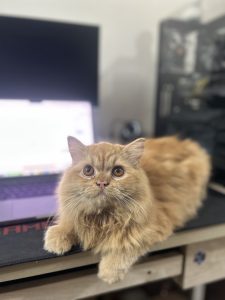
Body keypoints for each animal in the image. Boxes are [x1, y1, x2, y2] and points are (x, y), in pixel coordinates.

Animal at [43, 136, 211, 284]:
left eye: (118, 171)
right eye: (88, 170)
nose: (102, 183)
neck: (103, 217)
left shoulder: (150, 228)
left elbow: (126, 246)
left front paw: (109, 271)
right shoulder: (75, 213)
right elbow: (67, 224)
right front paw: (56, 240)